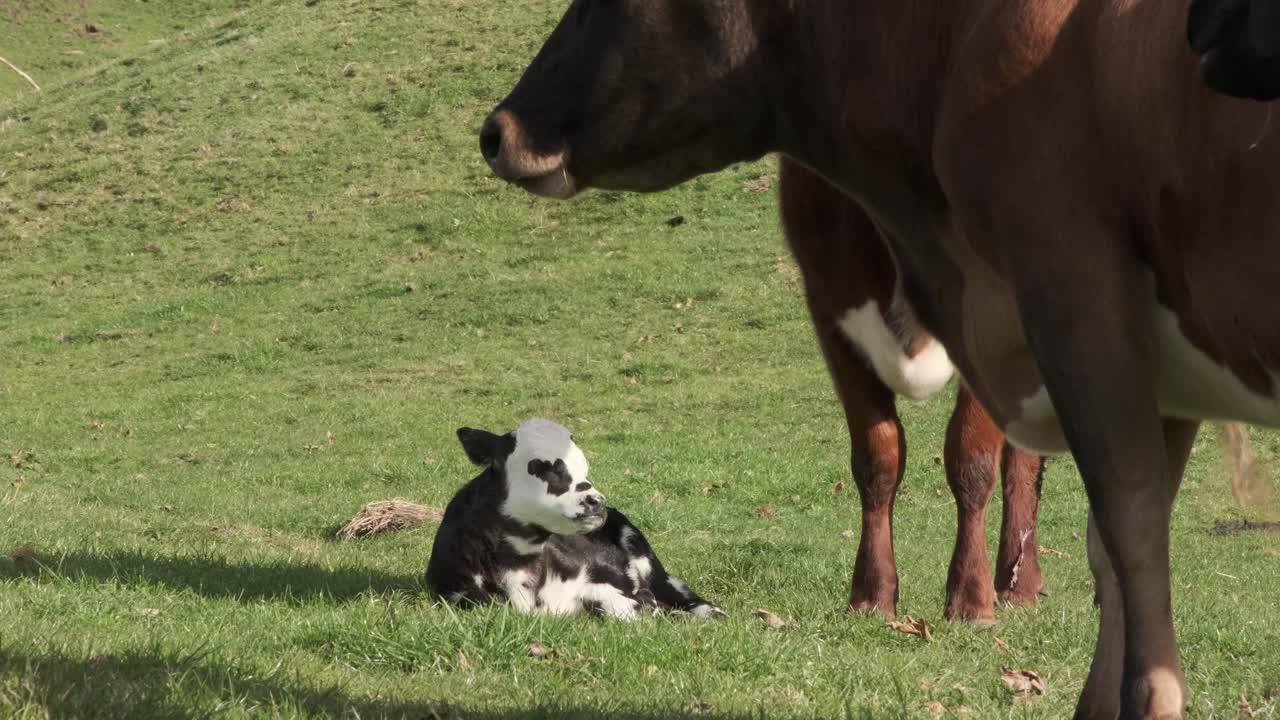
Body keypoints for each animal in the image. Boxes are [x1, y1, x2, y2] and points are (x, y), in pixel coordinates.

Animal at [779, 158, 1046, 624]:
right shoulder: (830, 310)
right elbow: (877, 458)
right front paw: (871, 595)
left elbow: (970, 458)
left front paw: (971, 599)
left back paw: (1019, 586)